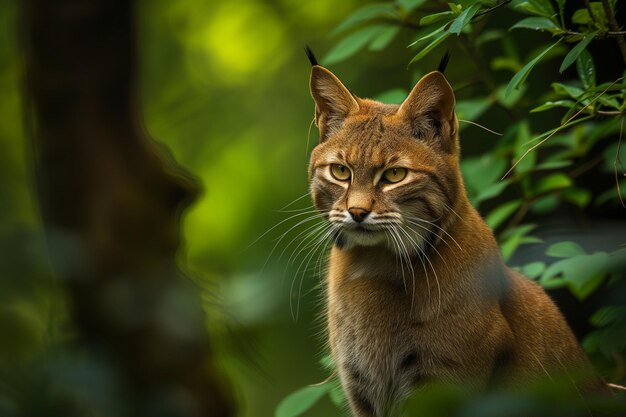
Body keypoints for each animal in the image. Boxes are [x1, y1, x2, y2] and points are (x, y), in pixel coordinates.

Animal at [302, 48, 600, 416]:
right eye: (341, 172)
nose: (357, 213)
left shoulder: (442, 381)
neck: (373, 263)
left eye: (395, 175)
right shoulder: (360, 386)